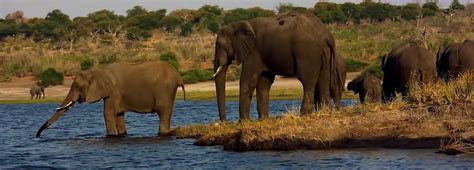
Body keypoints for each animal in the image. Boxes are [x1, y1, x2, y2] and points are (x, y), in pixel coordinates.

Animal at [36, 61, 185, 138]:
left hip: (165, 90)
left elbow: (108, 113)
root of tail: (178, 76)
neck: (97, 71)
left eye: (77, 86)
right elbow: (118, 115)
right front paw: (123, 135)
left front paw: (111, 137)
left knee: (163, 112)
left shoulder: (114, 92)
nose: (37, 135)